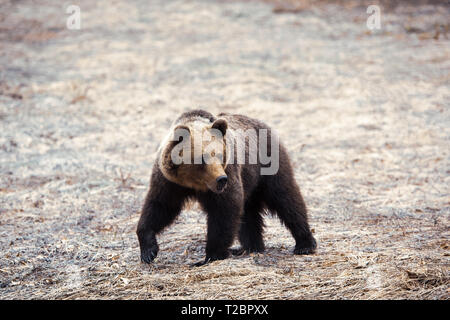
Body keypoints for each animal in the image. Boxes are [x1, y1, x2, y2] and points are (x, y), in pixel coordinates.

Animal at [137, 109, 316, 264]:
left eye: (219, 154)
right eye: (202, 158)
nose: (221, 179)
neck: (193, 184)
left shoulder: (229, 172)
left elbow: (225, 209)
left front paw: (211, 255)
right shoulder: (169, 182)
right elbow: (160, 207)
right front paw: (148, 251)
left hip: (268, 163)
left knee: (286, 198)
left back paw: (305, 244)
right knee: (248, 213)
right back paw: (250, 247)